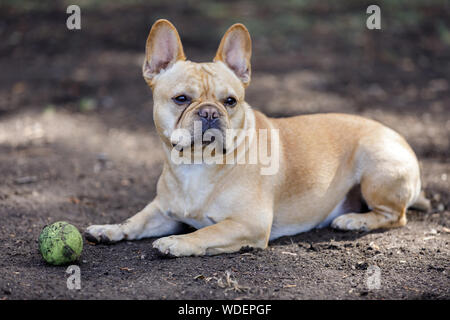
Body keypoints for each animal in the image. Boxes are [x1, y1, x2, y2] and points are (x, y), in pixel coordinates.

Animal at [85, 19, 428, 255]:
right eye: (181, 99)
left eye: (230, 101)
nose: (209, 113)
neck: (197, 164)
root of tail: (398, 138)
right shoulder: (163, 210)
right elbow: (135, 220)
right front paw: (109, 229)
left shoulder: (248, 224)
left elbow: (205, 233)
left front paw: (177, 242)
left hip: (376, 167)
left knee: (396, 216)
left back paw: (355, 221)